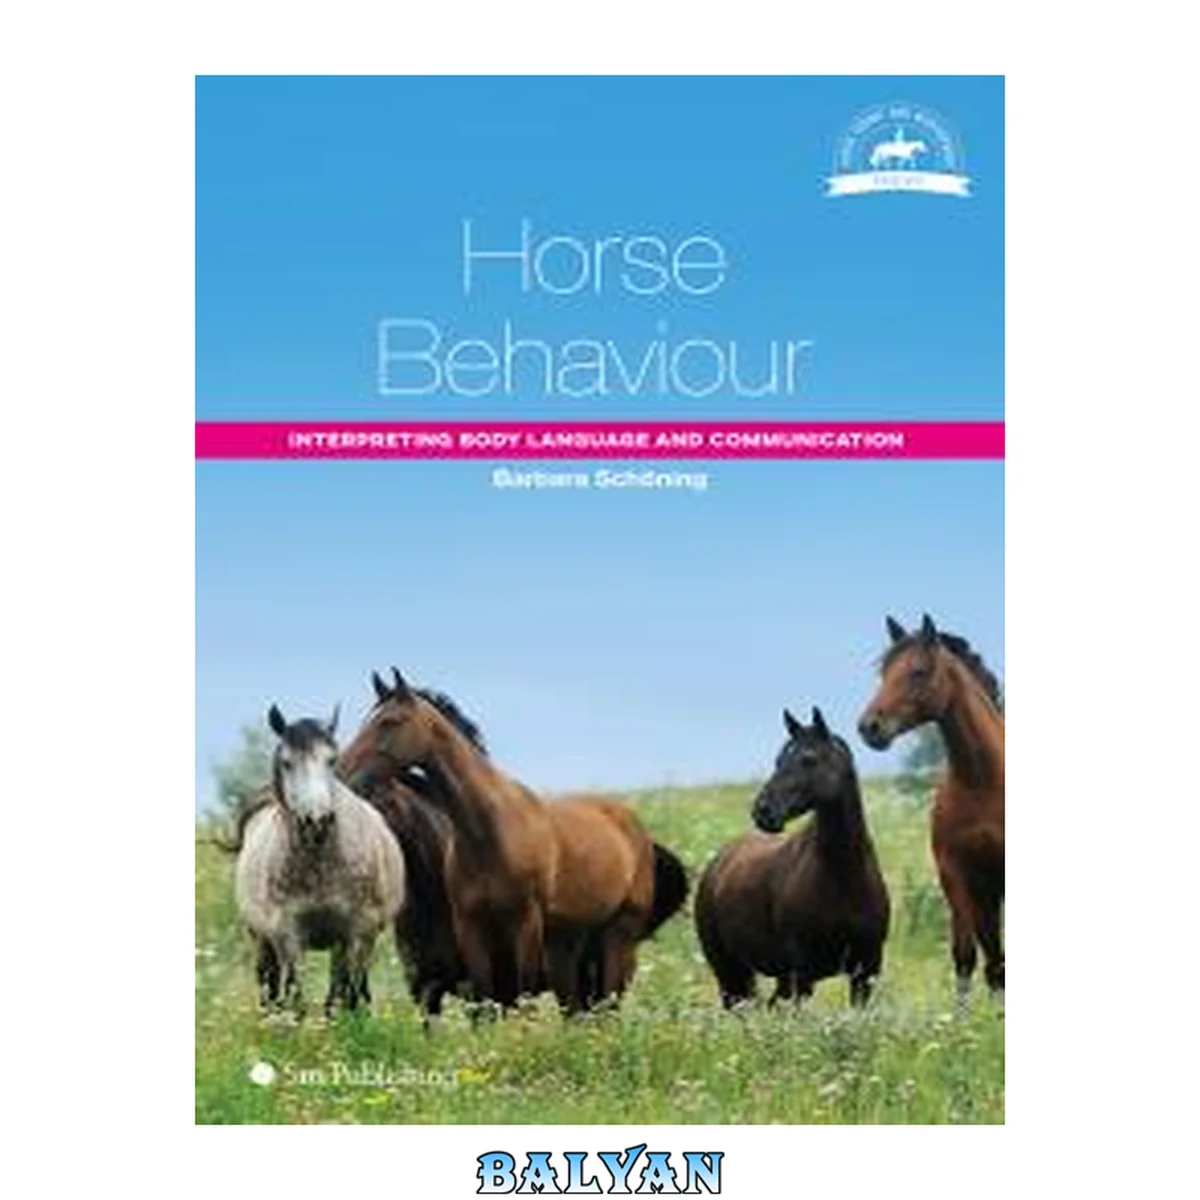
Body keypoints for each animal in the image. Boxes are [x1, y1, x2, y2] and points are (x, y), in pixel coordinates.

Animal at [233, 705, 406, 1016]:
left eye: (331, 760)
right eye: (287, 763)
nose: (318, 822)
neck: (320, 866)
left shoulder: (356, 933)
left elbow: (346, 996)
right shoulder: (288, 937)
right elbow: (296, 997)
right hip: (261, 939)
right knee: (269, 986)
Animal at [340, 669, 687, 1013]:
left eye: (390, 722)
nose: (342, 771)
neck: (488, 835)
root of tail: (638, 834)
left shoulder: (525, 929)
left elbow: (522, 998)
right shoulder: (467, 937)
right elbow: (485, 1002)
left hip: (617, 942)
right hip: (570, 957)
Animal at [695, 707, 889, 1009]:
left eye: (808, 759)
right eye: (778, 760)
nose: (763, 811)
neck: (843, 875)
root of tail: (717, 864)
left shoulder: (865, 970)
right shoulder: (801, 973)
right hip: (729, 972)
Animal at [858, 614, 1004, 1002]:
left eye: (919, 671)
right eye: (884, 672)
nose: (869, 727)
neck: (981, 782)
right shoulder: (955, 874)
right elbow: (965, 956)